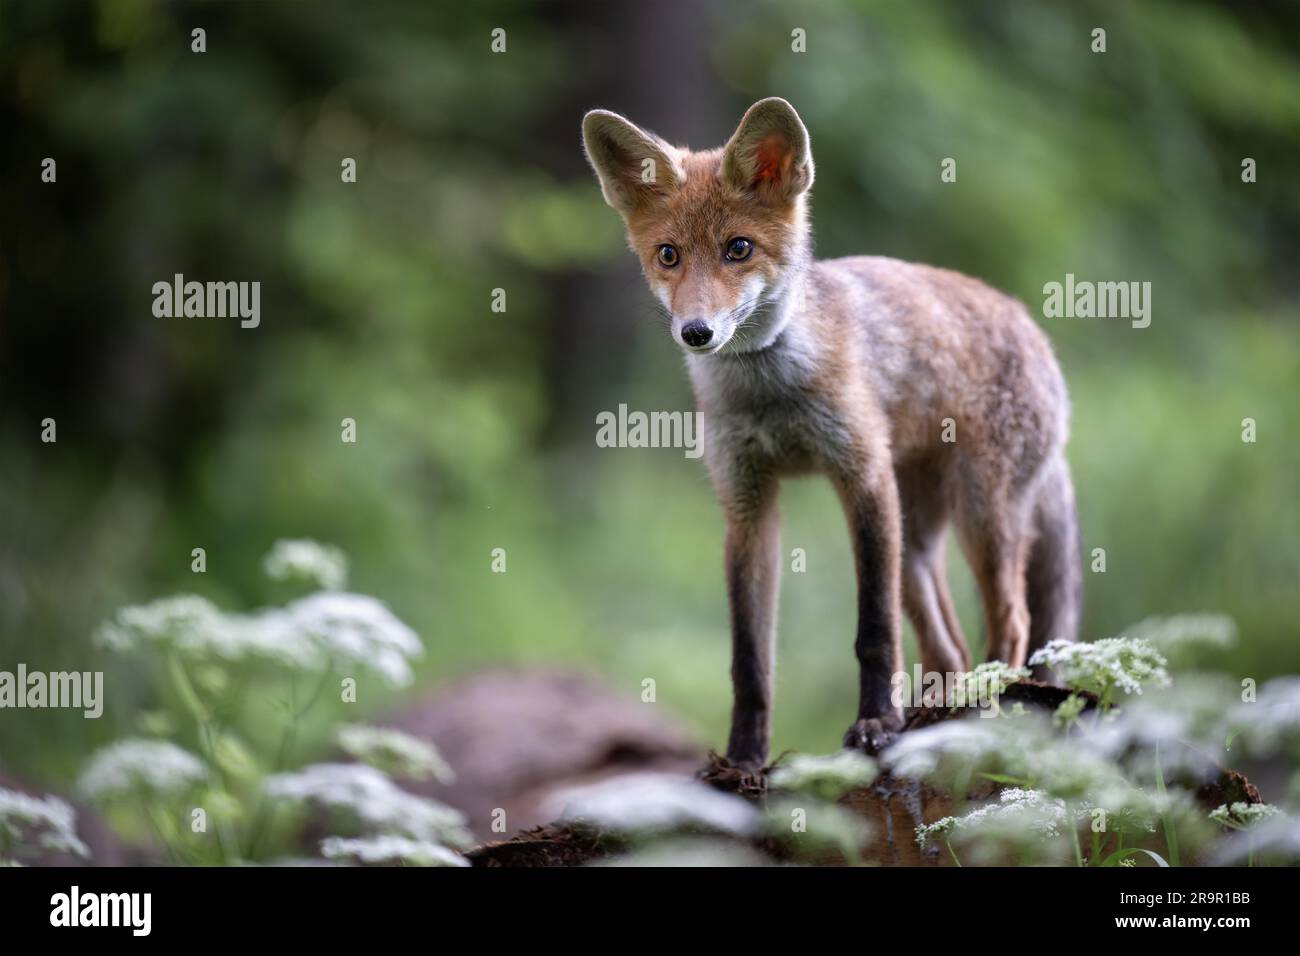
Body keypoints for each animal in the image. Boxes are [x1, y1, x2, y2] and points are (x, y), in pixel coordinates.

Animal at [585, 97, 1081, 770]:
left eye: (738, 248)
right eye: (669, 255)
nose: (696, 331)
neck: (771, 393)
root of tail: (1030, 324)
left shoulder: (862, 477)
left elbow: (873, 632)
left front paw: (875, 724)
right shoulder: (747, 508)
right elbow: (750, 661)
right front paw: (743, 760)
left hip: (981, 514)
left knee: (1013, 620)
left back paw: (986, 700)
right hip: (915, 536)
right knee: (947, 646)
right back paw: (939, 709)